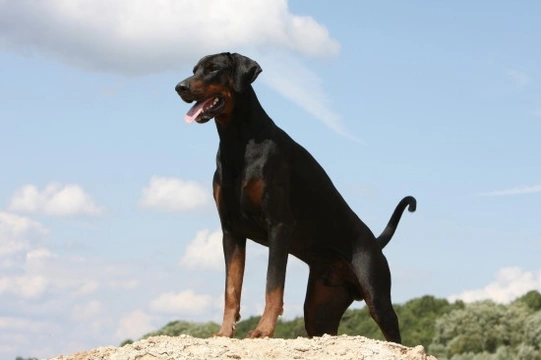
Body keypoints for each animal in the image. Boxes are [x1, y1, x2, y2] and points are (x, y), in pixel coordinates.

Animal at [175, 52, 416, 342]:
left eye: (213, 69)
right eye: (194, 69)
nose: (180, 87)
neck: (237, 142)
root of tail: (376, 243)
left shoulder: (279, 225)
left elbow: (273, 285)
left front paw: (263, 330)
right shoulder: (231, 231)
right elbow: (231, 289)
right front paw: (223, 332)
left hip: (377, 296)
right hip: (318, 311)